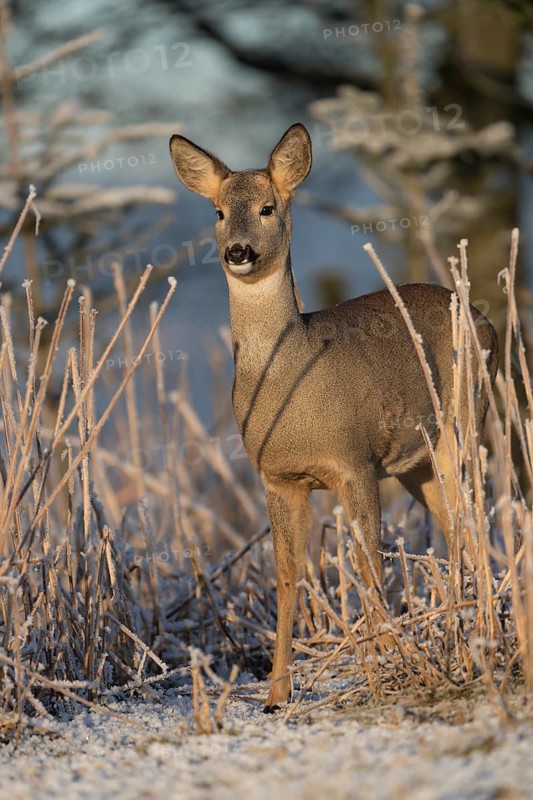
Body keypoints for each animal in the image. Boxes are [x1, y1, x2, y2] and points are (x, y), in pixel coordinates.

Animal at [169, 123, 499, 712]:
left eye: (268, 207)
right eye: (218, 211)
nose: (237, 251)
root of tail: (488, 321)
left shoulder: (355, 461)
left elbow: (369, 565)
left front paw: (389, 660)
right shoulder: (278, 477)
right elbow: (288, 577)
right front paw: (277, 693)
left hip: (465, 417)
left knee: (475, 513)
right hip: (417, 462)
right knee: (454, 520)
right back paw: (464, 621)